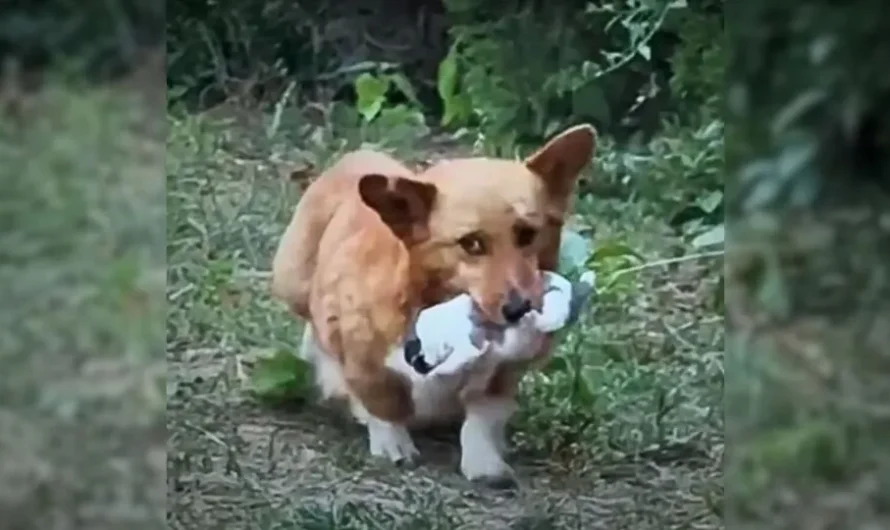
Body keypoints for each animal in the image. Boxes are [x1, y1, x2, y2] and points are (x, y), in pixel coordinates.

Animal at [268, 122, 592, 482]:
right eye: (471, 244)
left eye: (527, 234)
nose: (519, 309)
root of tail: (353, 157)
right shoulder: (363, 355)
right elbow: (383, 401)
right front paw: (392, 444)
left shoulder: (503, 375)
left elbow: (482, 417)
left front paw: (485, 462)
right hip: (291, 281)